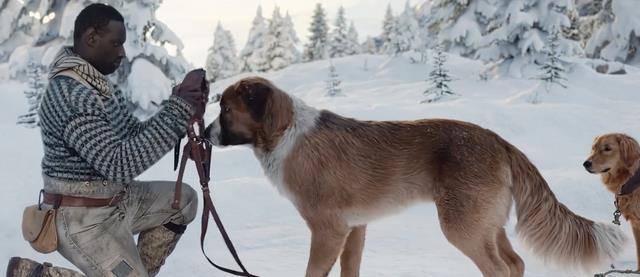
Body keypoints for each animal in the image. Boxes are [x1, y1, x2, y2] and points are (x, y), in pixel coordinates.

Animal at [209, 76, 624, 276]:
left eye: (226, 109)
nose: (207, 135)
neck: (284, 133)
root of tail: (498, 140)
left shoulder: (328, 231)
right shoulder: (354, 229)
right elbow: (350, 270)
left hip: (461, 225)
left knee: (499, 268)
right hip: (487, 224)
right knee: (515, 264)